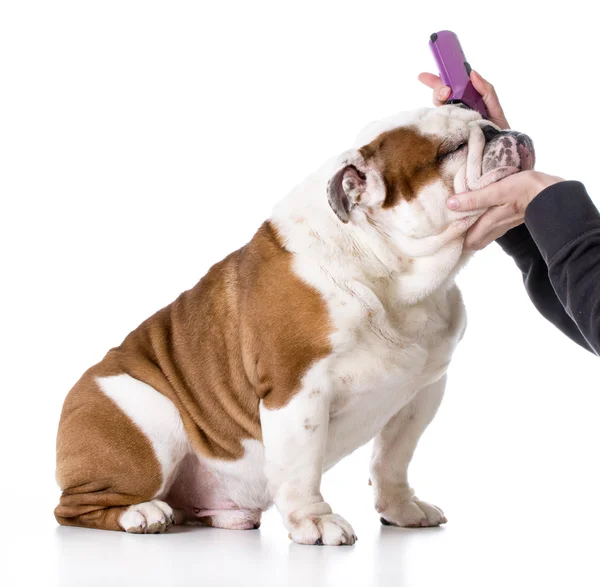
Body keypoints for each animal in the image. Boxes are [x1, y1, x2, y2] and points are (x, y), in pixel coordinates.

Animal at [55, 104, 536, 548]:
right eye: (452, 149)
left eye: (486, 120)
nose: (506, 132)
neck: (390, 271)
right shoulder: (298, 389)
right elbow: (302, 467)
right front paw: (315, 523)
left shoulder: (421, 393)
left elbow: (392, 459)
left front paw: (401, 509)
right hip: (150, 418)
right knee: (74, 508)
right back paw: (140, 513)